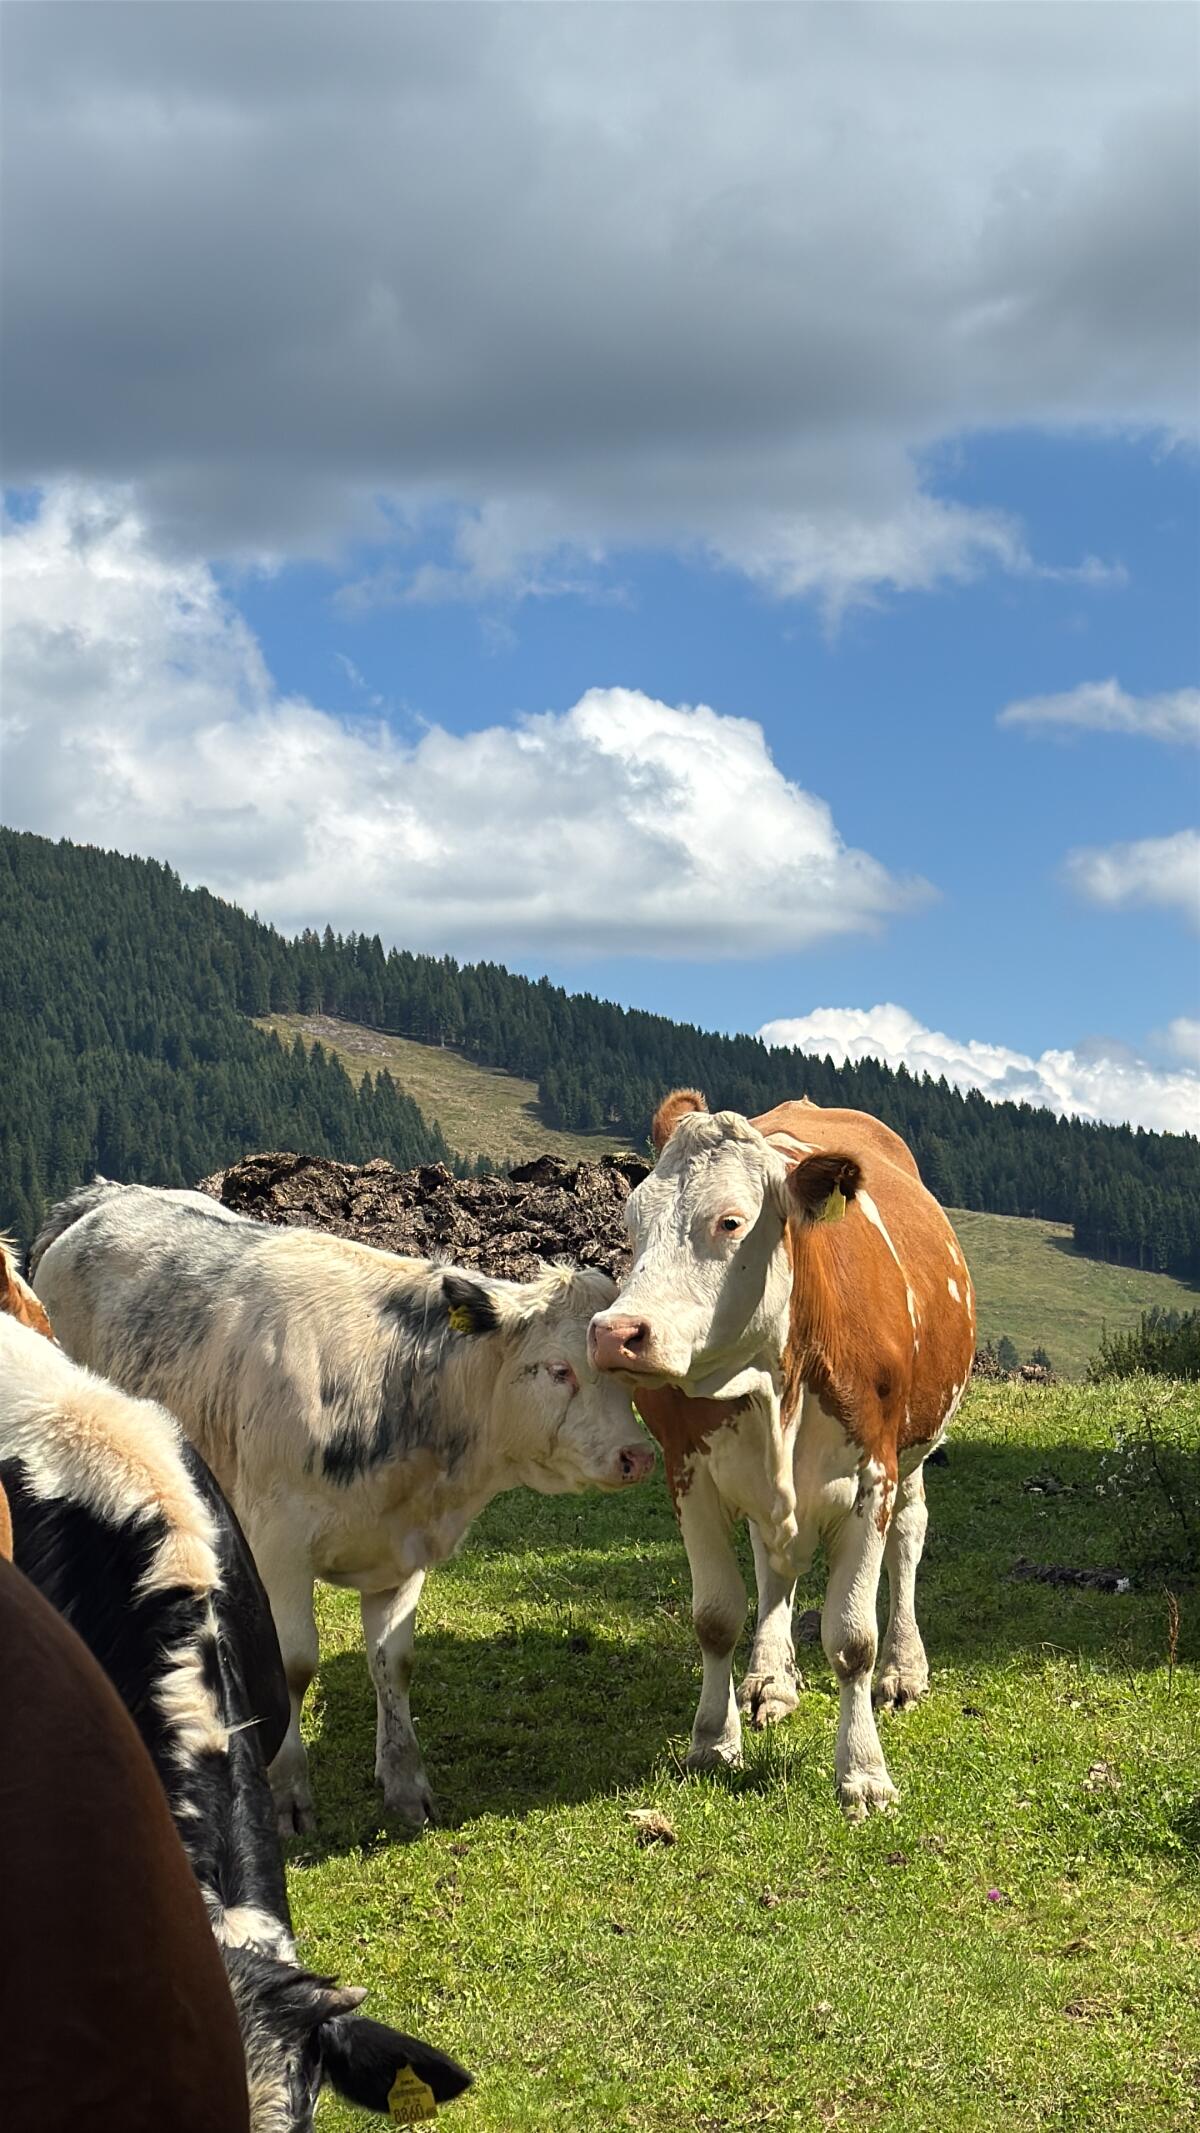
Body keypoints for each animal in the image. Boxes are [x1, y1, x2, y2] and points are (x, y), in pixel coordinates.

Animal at [31, 1181, 655, 1834]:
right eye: (559, 1370)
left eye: (623, 1375)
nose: (637, 1456)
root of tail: (104, 1196)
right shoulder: (279, 1544)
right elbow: (295, 1663)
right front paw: (287, 1795)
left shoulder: (402, 1551)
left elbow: (393, 1662)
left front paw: (406, 1786)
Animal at [588, 1091, 975, 1819]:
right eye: (633, 1220)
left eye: (730, 1221)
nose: (615, 1333)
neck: (775, 1375)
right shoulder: (690, 1473)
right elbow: (716, 1617)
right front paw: (713, 1741)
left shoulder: (872, 1476)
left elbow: (852, 1640)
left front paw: (863, 1772)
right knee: (773, 1562)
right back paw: (770, 1678)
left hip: (915, 1450)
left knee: (910, 1535)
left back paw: (905, 1669)